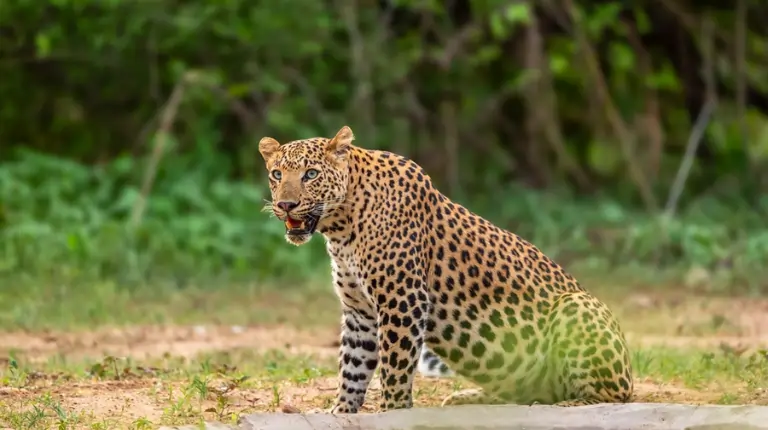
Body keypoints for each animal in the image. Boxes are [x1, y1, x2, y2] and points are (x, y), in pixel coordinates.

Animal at [258, 125, 633, 413]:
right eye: (277, 175)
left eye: (310, 174)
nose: (285, 204)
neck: (340, 228)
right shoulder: (360, 311)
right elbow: (353, 365)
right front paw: (342, 410)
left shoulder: (403, 299)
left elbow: (394, 365)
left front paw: (392, 410)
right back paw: (468, 398)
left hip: (578, 309)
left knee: (611, 395)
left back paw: (566, 405)